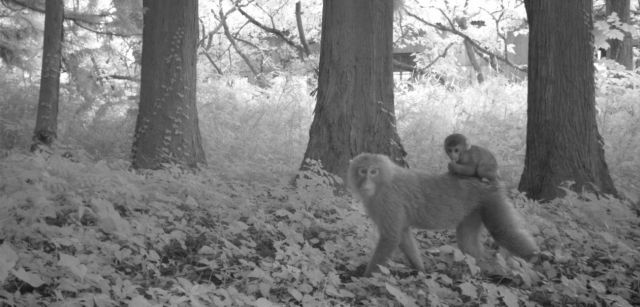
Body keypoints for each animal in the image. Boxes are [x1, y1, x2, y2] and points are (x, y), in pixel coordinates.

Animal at [348, 154, 536, 276]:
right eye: (362, 171)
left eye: (373, 172)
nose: (365, 183)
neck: (384, 182)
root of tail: (487, 180)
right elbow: (403, 235)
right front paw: (420, 270)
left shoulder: (388, 201)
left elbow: (391, 238)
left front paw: (365, 278)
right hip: (476, 208)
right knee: (467, 243)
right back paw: (484, 269)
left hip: (492, 199)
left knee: (502, 232)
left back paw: (535, 258)